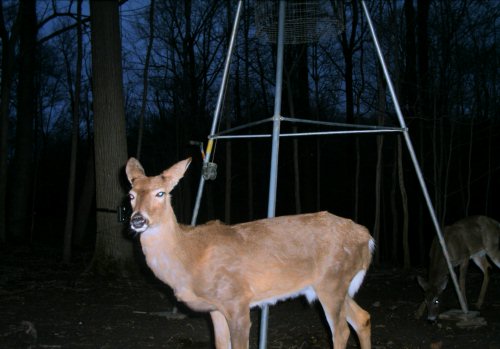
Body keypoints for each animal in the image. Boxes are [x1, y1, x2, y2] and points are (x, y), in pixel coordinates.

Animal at [125, 158, 376, 348]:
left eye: (160, 193)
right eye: (131, 195)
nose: (137, 220)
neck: (190, 258)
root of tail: (366, 237)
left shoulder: (237, 299)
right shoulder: (215, 308)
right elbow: (220, 345)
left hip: (332, 282)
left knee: (341, 331)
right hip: (332, 285)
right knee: (363, 318)